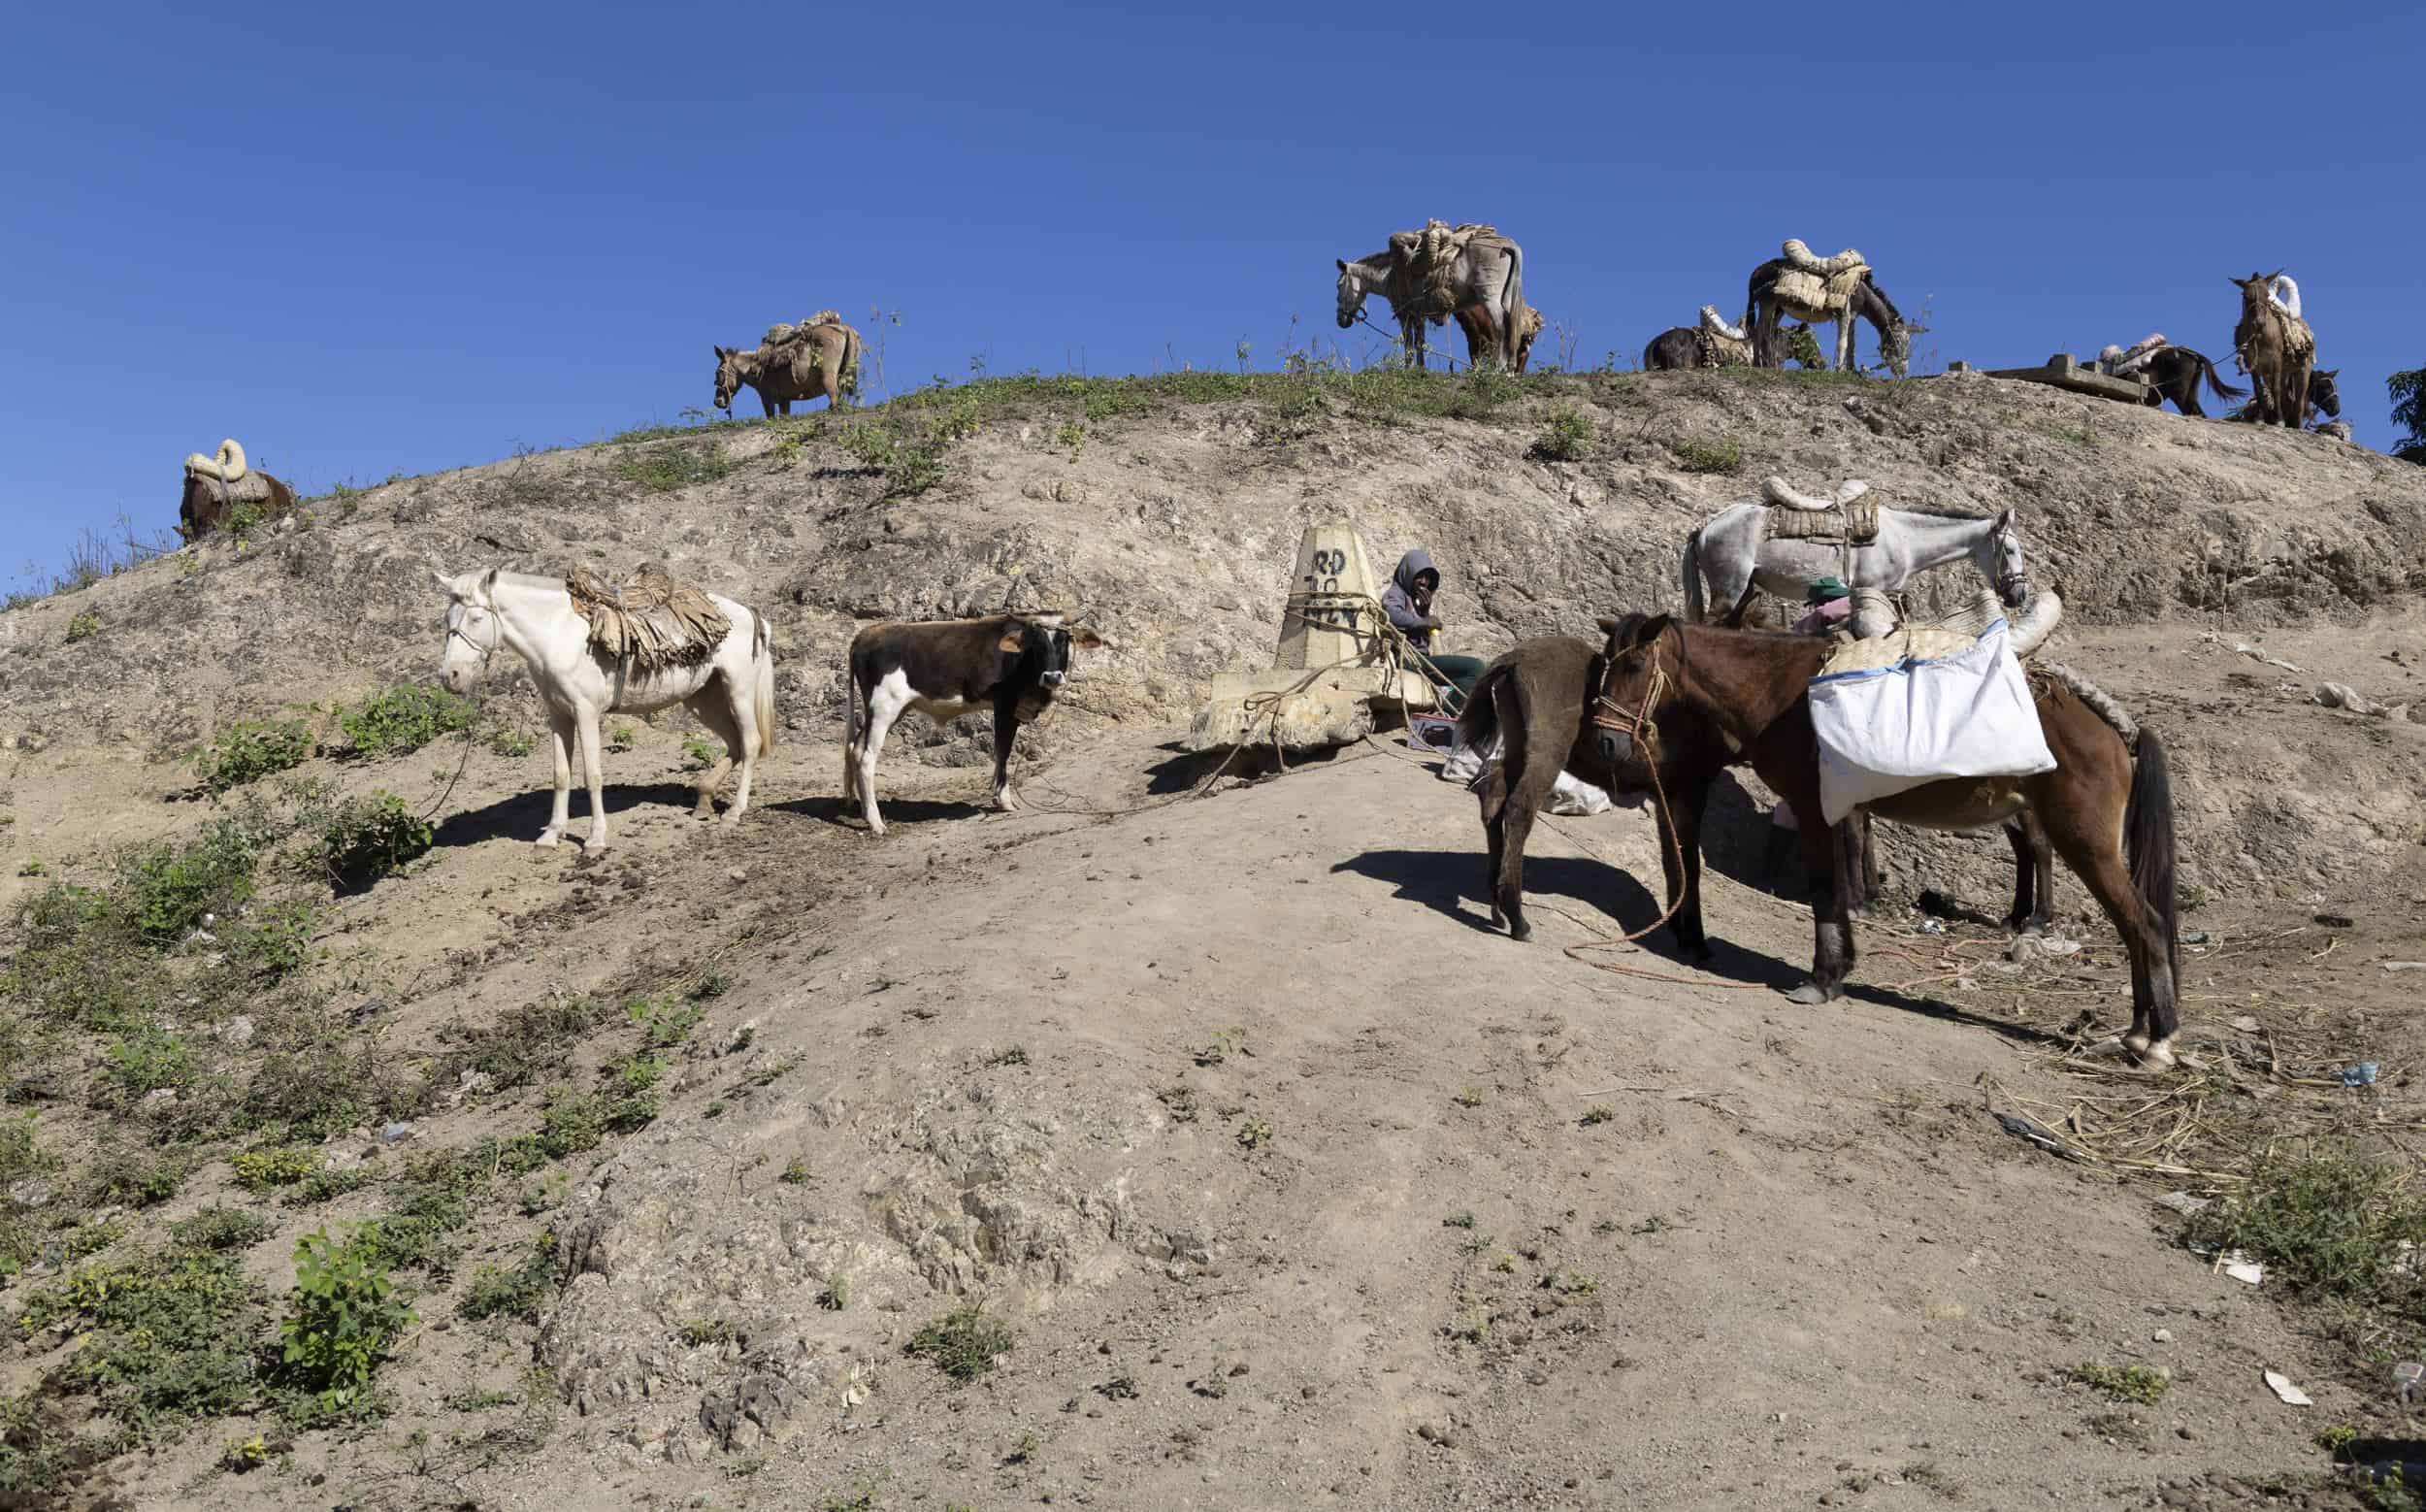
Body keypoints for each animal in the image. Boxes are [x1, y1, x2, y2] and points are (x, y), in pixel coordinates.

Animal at [432, 568, 776, 854]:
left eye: (476, 619)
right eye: (447, 619)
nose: (450, 677)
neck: (558, 636)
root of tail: (751, 614)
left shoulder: (585, 713)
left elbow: (592, 775)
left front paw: (595, 839)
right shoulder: (558, 715)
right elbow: (561, 774)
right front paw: (551, 836)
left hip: (738, 691)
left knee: (750, 743)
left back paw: (734, 812)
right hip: (703, 699)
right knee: (734, 743)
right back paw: (703, 800)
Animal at [844, 608, 1111, 835]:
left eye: (1064, 640)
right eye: (1036, 644)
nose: (1052, 677)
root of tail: (866, 634)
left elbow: (1003, 750)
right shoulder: (1004, 704)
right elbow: (1003, 749)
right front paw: (1004, 801)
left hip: (888, 710)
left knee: (855, 749)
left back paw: (862, 811)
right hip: (884, 707)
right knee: (867, 758)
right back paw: (877, 823)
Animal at [1591, 611, 2183, 1063]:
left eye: (1635, 665)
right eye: (1603, 668)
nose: (1606, 745)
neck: (1781, 692)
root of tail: (2117, 729)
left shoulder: (1813, 811)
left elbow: (1824, 891)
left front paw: (1821, 980)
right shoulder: (1837, 815)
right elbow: (1840, 888)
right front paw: (1840, 969)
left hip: (2084, 842)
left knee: (2145, 924)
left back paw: (2157, 1041)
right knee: (2132, 926)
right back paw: (2137, 1033)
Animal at [1688, 487, 2028, 626]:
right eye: (2011, 550)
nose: (2019, 595)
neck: (1905, 538)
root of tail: (1706, 525)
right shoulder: (1874, 590)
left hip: (1746, 588)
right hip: (1728, 589)